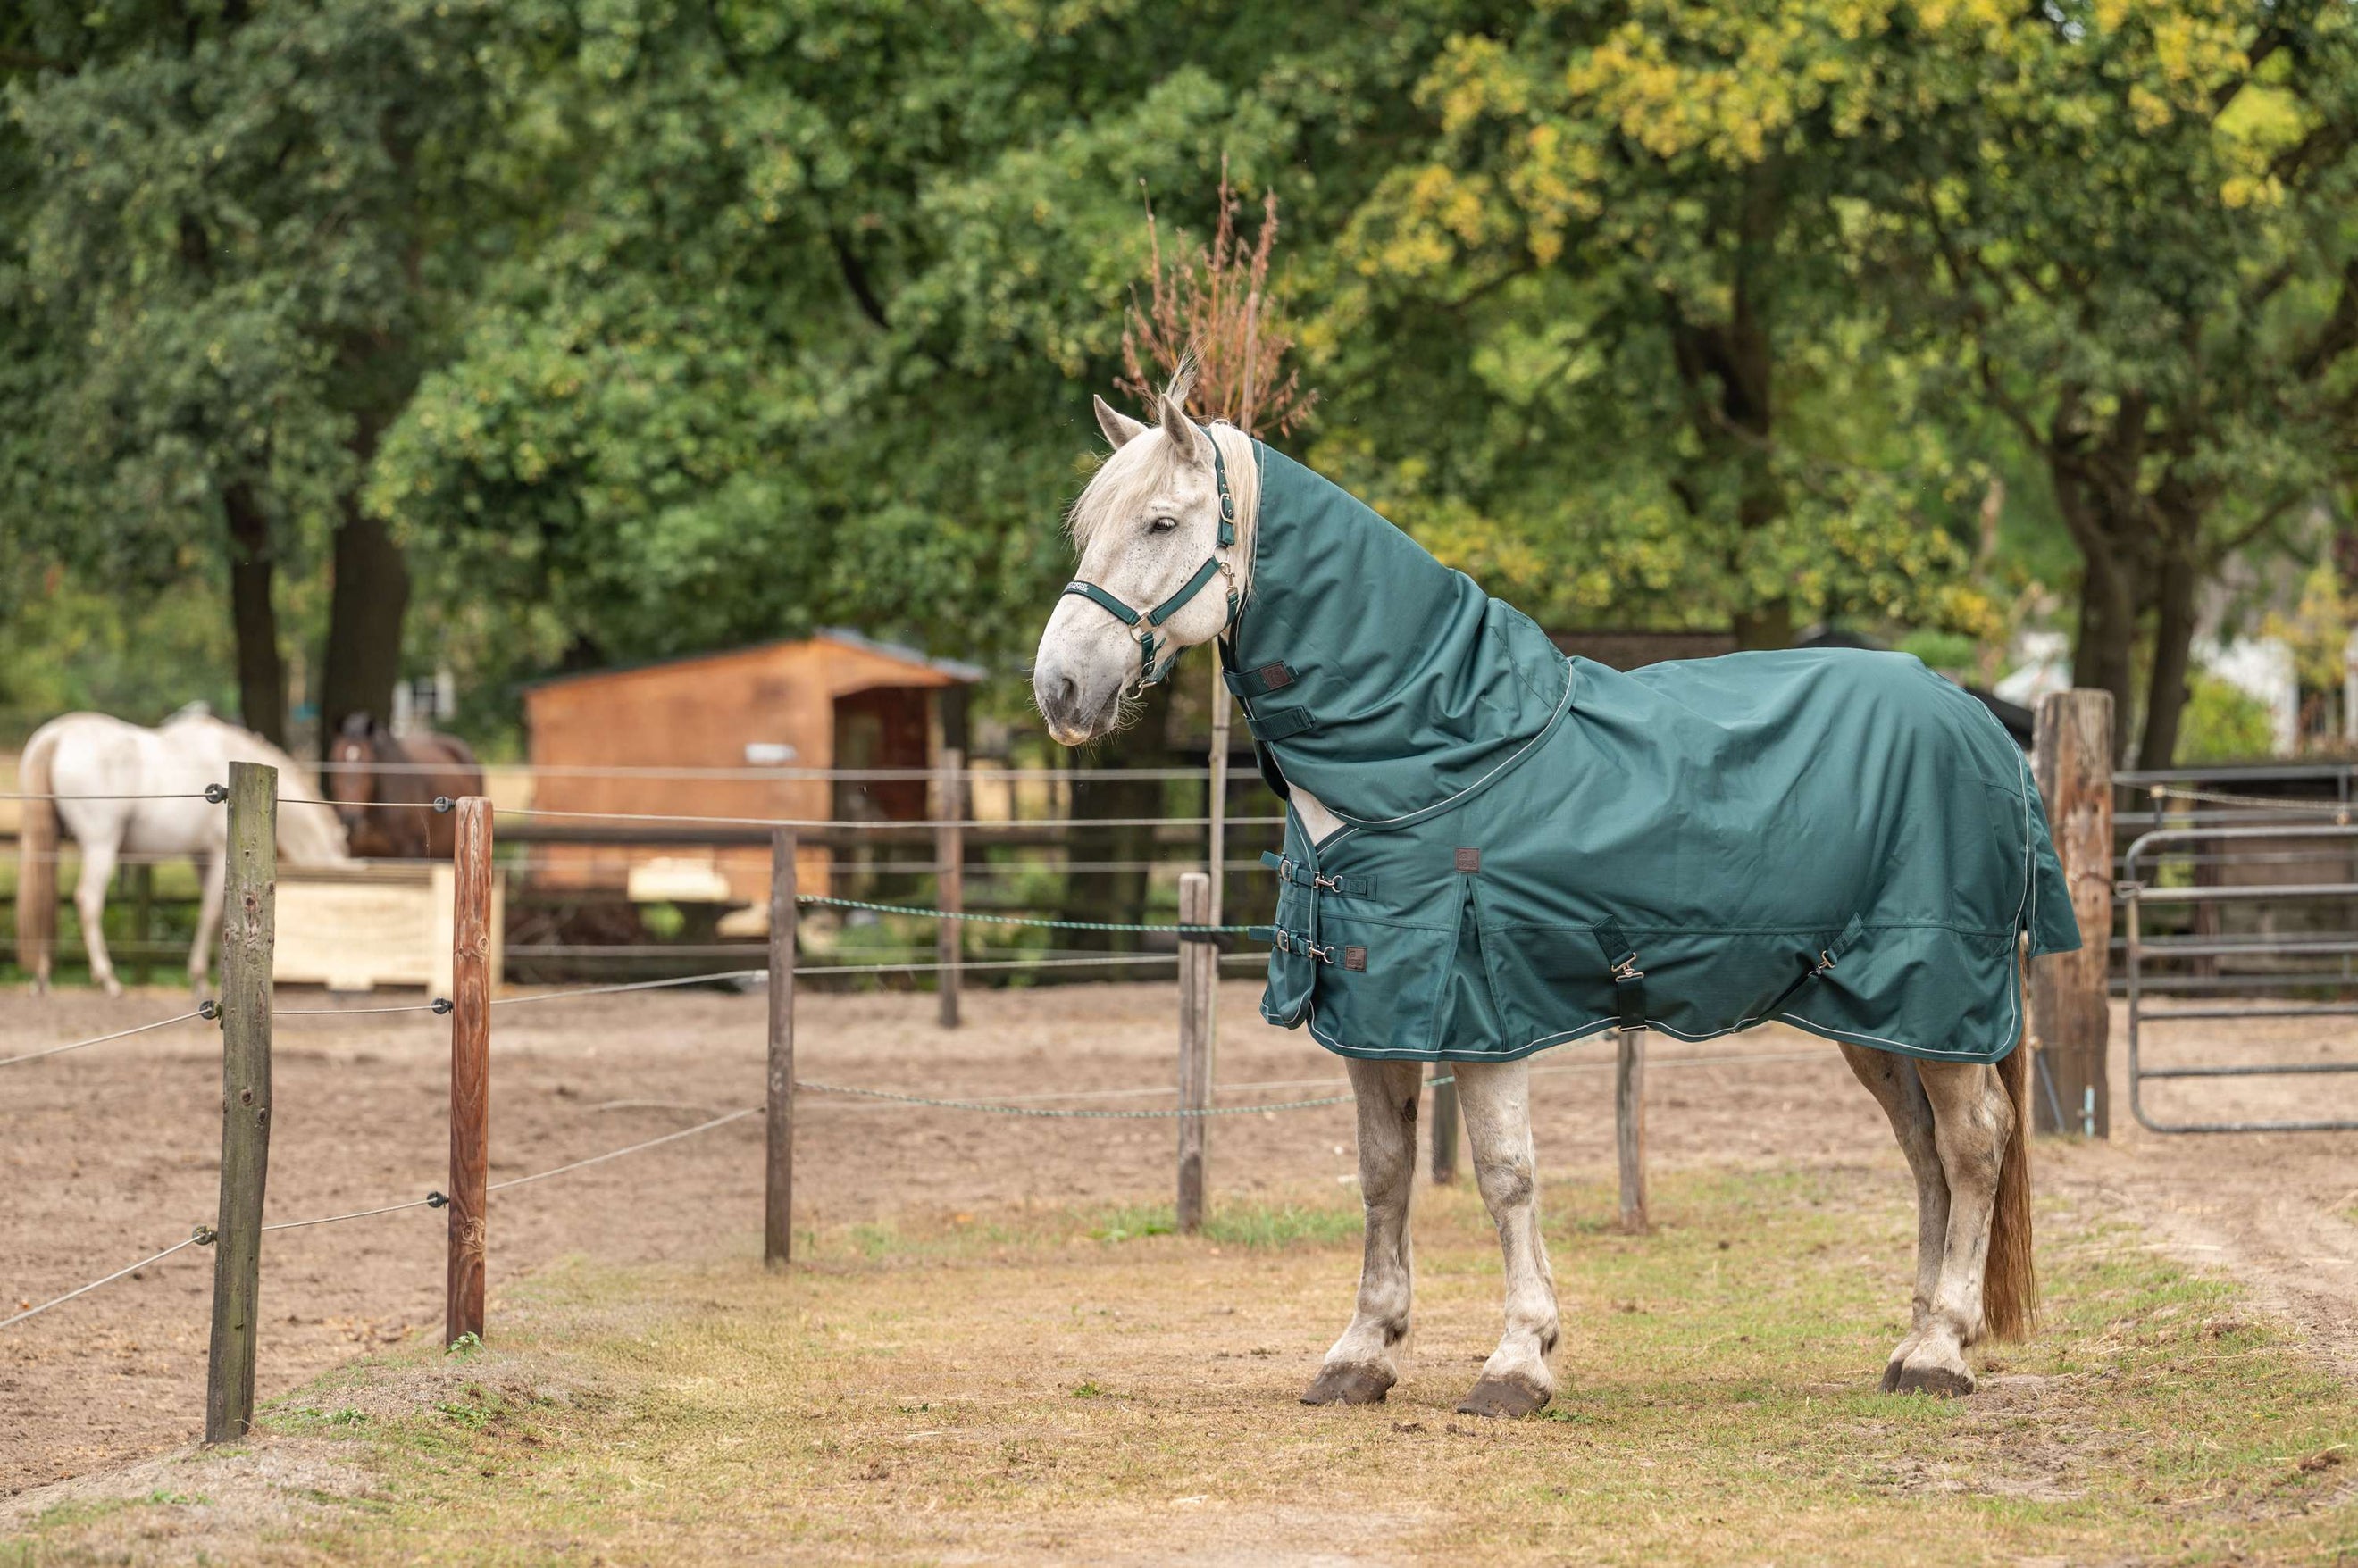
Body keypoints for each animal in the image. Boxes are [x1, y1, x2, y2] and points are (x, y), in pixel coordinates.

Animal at [16, 707, 351, 996]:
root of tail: (57, 735)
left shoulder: (200, 857)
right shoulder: (216, 854)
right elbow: (212, 911)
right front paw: (203, 978)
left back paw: (42, 977)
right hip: (101, 845)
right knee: (89, 901)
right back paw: (108, 979)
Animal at [1031, 374, 2076, 1415]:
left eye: (1162, 522)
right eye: (1089, 527)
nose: (1060, 688)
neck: (1436, 747)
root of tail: (1981, 720)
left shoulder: (1481, 1011)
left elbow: (1504, 1176)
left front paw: (1518, 1360)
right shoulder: (1374, 1008)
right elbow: (1383, 1174)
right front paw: (1362, 1353)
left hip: (1935, 992)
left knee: (1975, 1142)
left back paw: (1940, 1349)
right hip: (1879, 1014)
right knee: (1925, 1150)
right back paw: (1914, 1342)